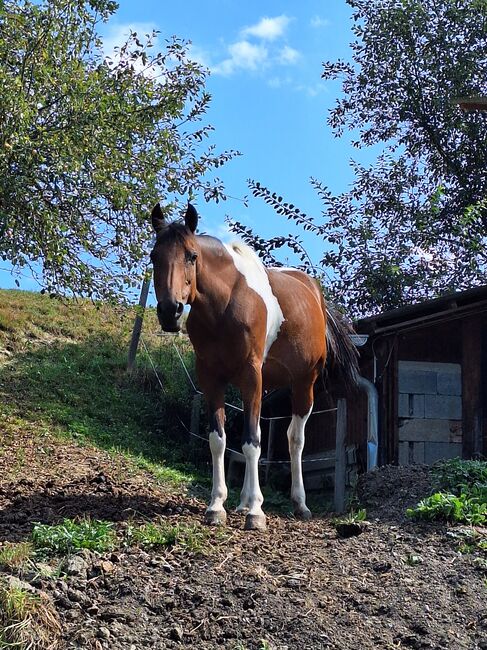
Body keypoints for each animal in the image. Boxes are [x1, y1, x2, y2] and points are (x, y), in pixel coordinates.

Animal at [150, 204, 358, 532]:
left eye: (192, 256)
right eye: (153, 257)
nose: (170, 311)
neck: (224, 306)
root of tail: (316, 296)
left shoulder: (251, 376)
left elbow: (252, 443)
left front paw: (257, 513)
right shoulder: (211, 379)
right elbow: (219, 441)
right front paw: (217, 505)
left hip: (303, 384)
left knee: (294, 440)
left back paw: (299, 504)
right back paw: (245, 501)